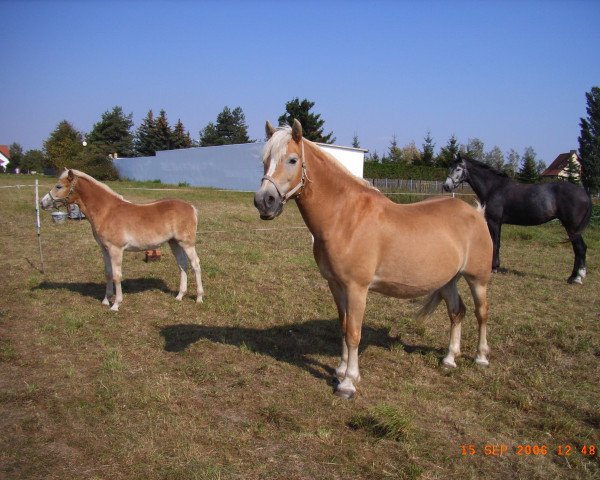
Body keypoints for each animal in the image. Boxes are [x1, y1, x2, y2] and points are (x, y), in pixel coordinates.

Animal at [40, 169, 204, 312]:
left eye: (59, 186)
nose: (43, 203)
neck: (107, 211)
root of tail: (191, 207)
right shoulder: (104, 249)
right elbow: (108, 273)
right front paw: (106, 300)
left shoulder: (116, 249)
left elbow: (117, 275)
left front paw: (116, 304)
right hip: (174, 243)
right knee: (182, 265)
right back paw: (180, 295)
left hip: (187, 244)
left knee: (195, 264)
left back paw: (199, 297)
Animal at [253, 119, 492, 398]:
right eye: (264, 159)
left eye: (292, 160)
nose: (264, 201)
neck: (346, 218)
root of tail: (476, 212)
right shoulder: (336, 286)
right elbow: (343, 327)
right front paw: (340, 370)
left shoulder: (357, 288)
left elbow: (354, 333)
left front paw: (348, 383)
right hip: (448, 281)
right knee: (457, 312)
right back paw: (449, 359)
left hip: (477, 279)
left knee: (481, 312)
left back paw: (481, 357)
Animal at [442, 154, 592, 284]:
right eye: (450, 167)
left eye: (458, 168)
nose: (446, 186)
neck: (494, 187)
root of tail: (584, 194)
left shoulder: (494, 221)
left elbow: (495, 243)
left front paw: (494, 267)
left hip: (572, 228)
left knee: (580, 248)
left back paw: (575, 277)